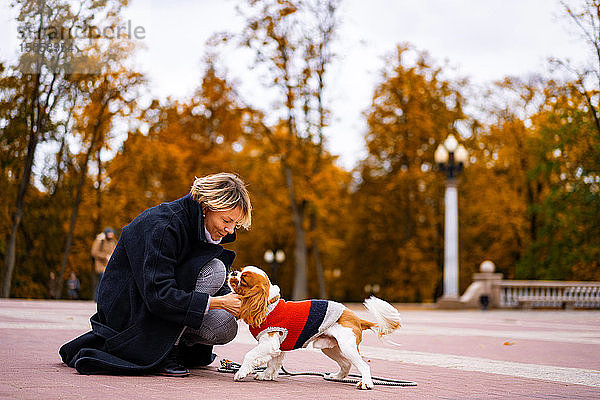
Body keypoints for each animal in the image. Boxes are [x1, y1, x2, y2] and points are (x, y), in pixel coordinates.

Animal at [227, 264, 400, 390]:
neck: (268, 305)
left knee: (363, 365)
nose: (233, 272)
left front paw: (241, 372)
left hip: (347, 347)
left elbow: (249, 355)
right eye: (240, 271)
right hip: (330, 348)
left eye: (243, 280)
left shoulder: (269, 342)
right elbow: (273, 363)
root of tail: (357, 318)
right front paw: (266, 375)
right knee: (346, 364)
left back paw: (366, 383)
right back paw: (336, 377)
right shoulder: (277, 346)